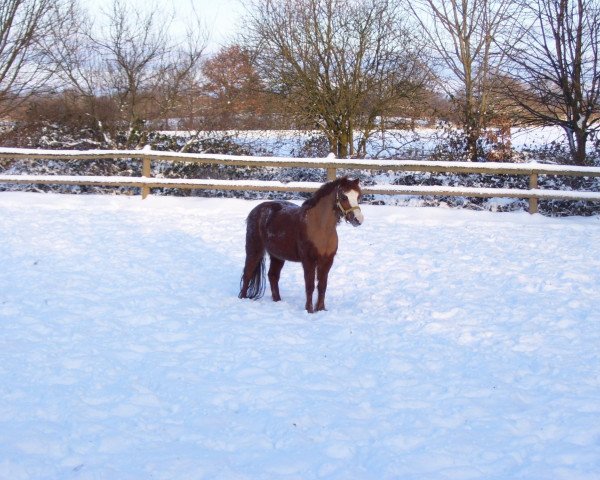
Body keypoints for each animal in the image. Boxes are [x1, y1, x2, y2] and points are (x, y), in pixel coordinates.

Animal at [238, 178, 360, 314]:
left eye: (358, 196)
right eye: (344, 196)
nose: (358, 220)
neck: (320, 227)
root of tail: (256, 210)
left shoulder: (327, 260)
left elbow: (322, 286)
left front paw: (321, 309)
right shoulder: (308, 260)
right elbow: (310, 285)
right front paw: (309, 310)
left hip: (277, 256)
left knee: (273, 276)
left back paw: (278, 300)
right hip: (254, 249)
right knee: (248, 273)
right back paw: (242, 298)